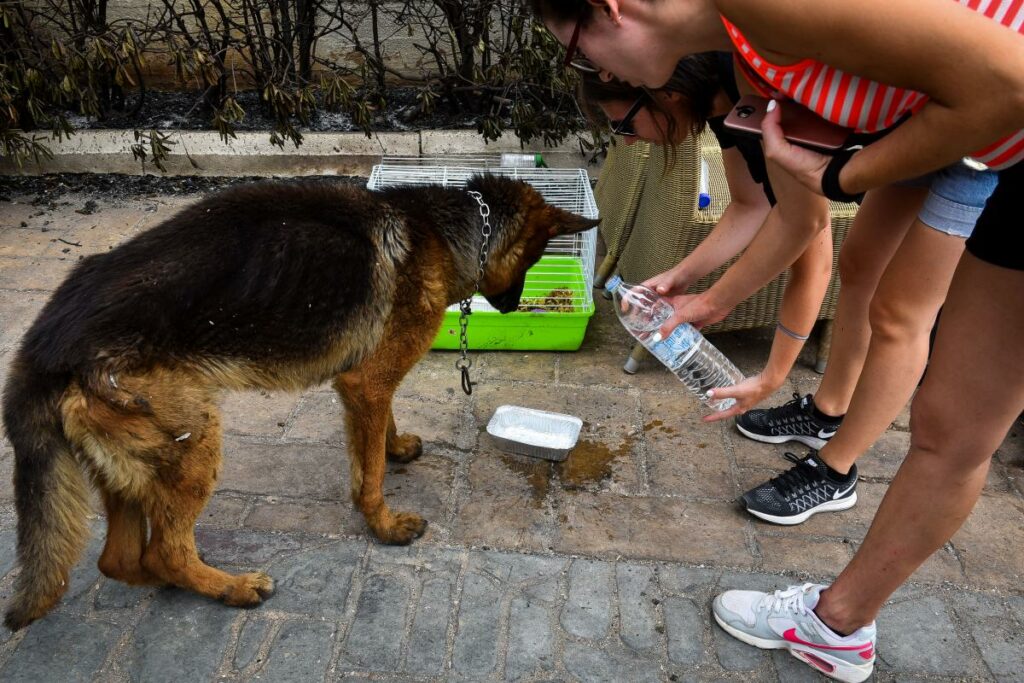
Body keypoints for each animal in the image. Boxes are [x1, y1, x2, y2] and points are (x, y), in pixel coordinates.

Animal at [0, 175, 598, 630]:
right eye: (536, 259)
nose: (514, 306)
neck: (443, 228)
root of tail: (43, 345)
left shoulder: (365, 384)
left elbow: (380, 431)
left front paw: (395, 445)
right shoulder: (367, 382)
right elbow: (370, 474)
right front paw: (383, 525)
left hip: (134, 464)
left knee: (121, 559)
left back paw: (176, 580)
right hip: (195, 440)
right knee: (162, 549)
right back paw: (231, 587)